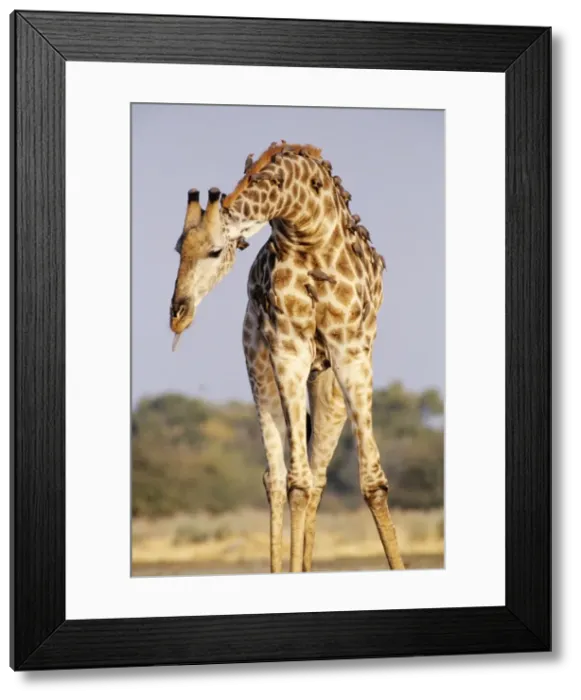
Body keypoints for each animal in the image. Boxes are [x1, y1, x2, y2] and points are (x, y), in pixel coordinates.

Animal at [169, 141, 405, 574]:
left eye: (214, 250)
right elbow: (297, 482)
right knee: (279, 477)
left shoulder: (351, 350)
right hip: (257, 365)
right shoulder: (287, 350)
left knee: (319, 474)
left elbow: (372, 482)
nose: (178, 313)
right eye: (179, 248)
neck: (305, 222)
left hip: (328, 387)